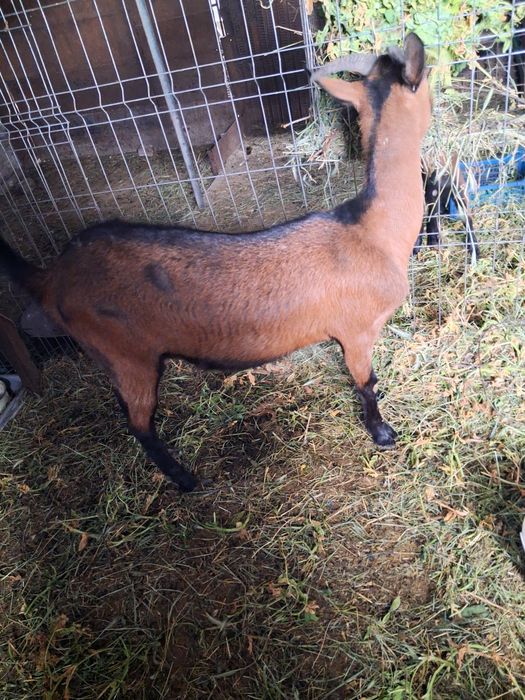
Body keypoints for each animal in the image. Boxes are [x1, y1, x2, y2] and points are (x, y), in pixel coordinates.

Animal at [0, 33, 431, 492]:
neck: (372, 230)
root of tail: (53, 275)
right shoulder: (358, 331)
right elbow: (366, 384)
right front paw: (382, 434)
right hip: (127, 355)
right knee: (139, 423)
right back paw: (184, 479)